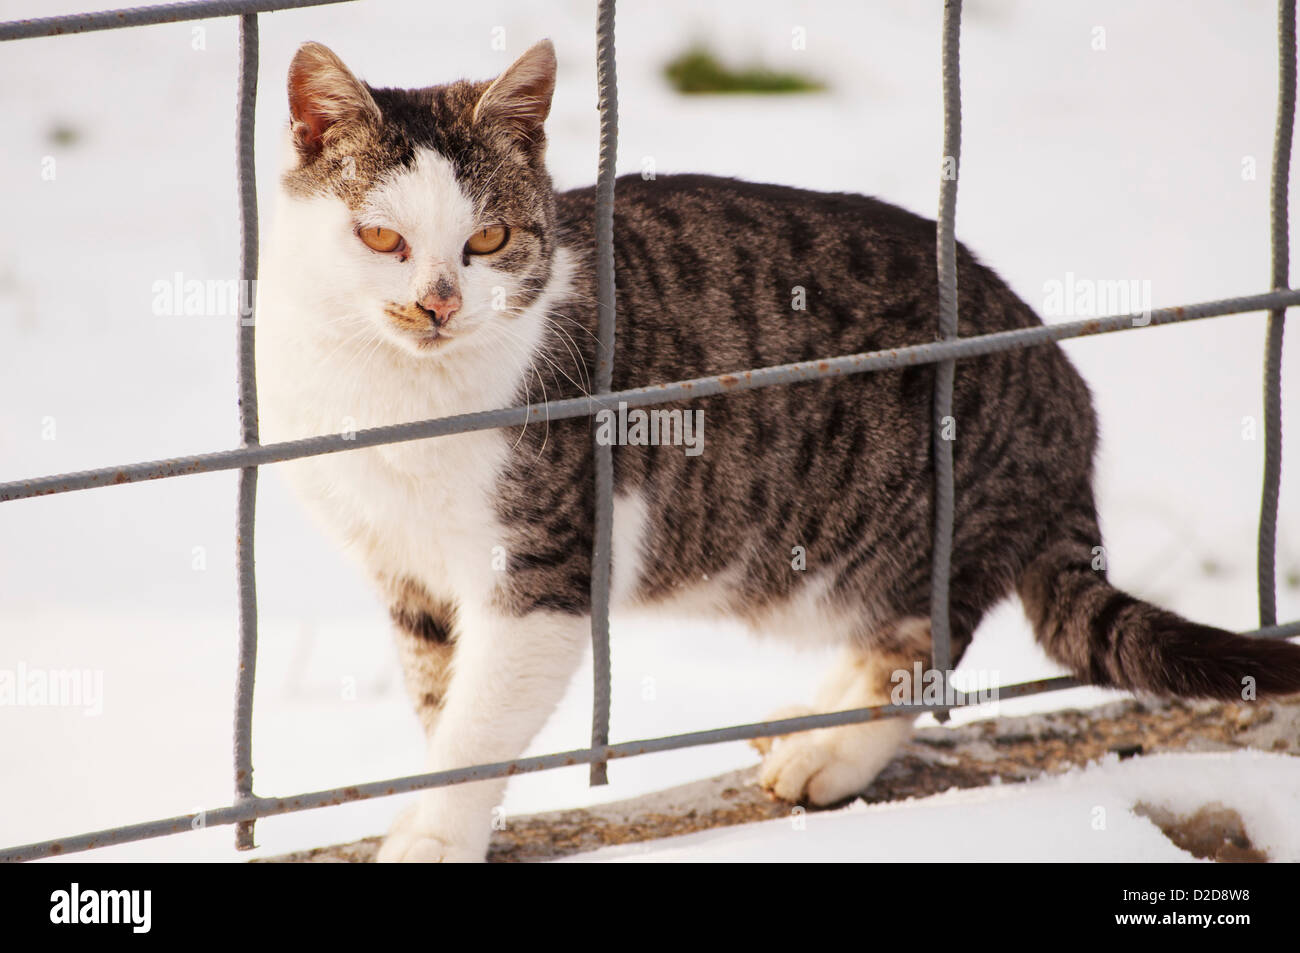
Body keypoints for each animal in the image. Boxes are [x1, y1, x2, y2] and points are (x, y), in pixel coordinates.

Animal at [253, 39, 1300, 863]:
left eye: (491, 238)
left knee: (925, 644)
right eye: (379, 237)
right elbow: (443, 701)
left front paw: (433, 834)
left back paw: (825, 752)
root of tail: (1064, 397)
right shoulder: (407, 571)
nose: (437, 303)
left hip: (915, 526)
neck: (397, 403)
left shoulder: (547, 567)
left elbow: (480, 719)